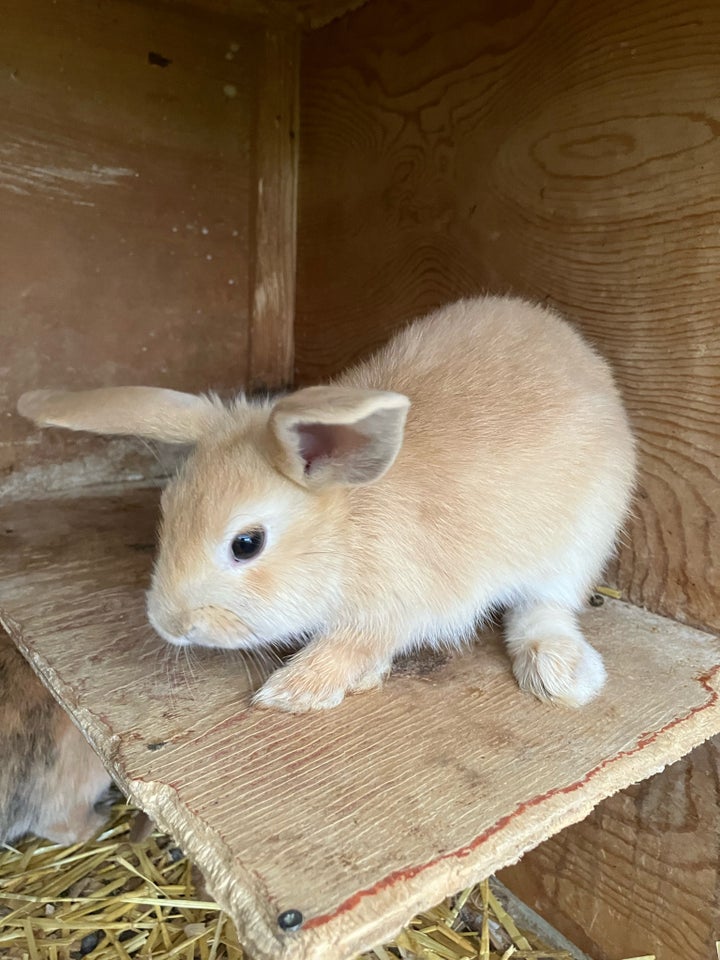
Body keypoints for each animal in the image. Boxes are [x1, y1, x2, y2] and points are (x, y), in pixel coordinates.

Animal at [16, 298, 636, 712]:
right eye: (166, 510)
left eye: (247, 544)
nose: (169, 625)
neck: (347, 527)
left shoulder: (396, 607)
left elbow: (350, 645)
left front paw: (291, 692)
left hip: (580, 541)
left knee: (547, 606)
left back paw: (562, 673)